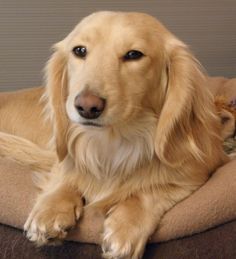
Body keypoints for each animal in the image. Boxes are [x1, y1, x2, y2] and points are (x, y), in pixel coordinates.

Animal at [0, 11, 229, 258]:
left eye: (134, 54)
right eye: (79, 50)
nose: (87, 107)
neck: (112, 141)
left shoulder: (195, 174)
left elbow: (149, 190)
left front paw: (126, 228)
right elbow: (66, 175)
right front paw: (51, 209)